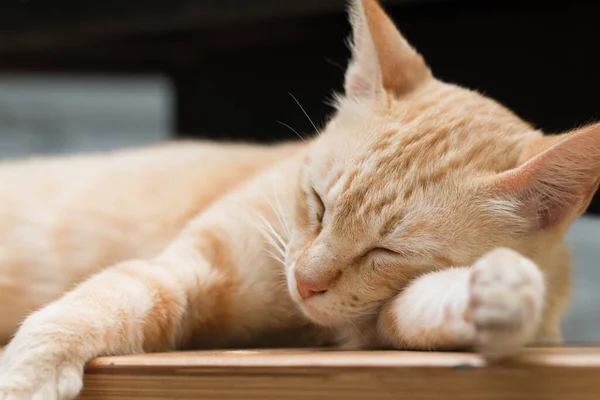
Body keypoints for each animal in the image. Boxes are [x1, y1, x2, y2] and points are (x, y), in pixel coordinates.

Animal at [1, 0, 600, 398]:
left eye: (387, 252)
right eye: (318, 203)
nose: (305, 282)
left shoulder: (376, 330)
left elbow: (426, 309)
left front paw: (498, 294)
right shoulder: (185, 266)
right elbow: (98, 301)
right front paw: (29, 374)